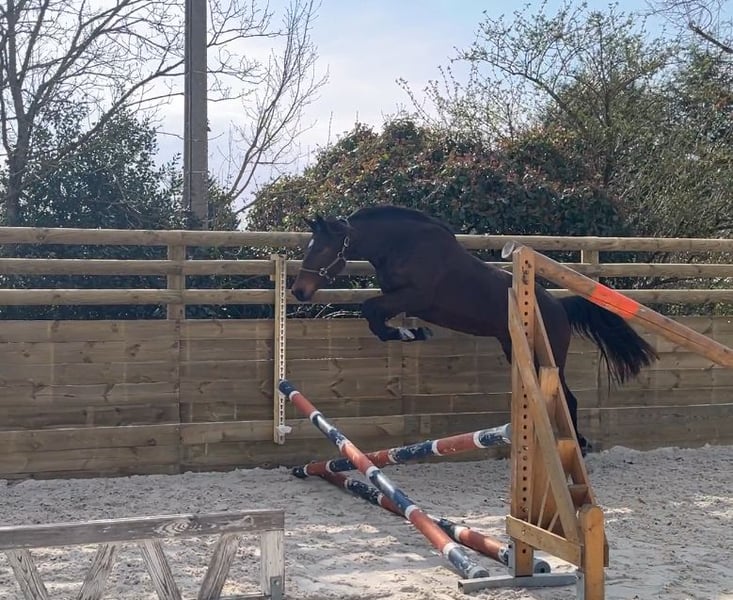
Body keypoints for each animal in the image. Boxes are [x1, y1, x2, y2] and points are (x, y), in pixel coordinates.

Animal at [291, 205, 658, 451]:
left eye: (322, 248)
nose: (299, 291)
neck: (402, 245)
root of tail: (560, 307)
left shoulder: (415, 297)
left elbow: (372, 311)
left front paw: (412, 333)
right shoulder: (401, 299)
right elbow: (373, 316)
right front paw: (411, 333)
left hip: (547, 355)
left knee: (569, 399)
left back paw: (576, 445)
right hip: (515, 348)